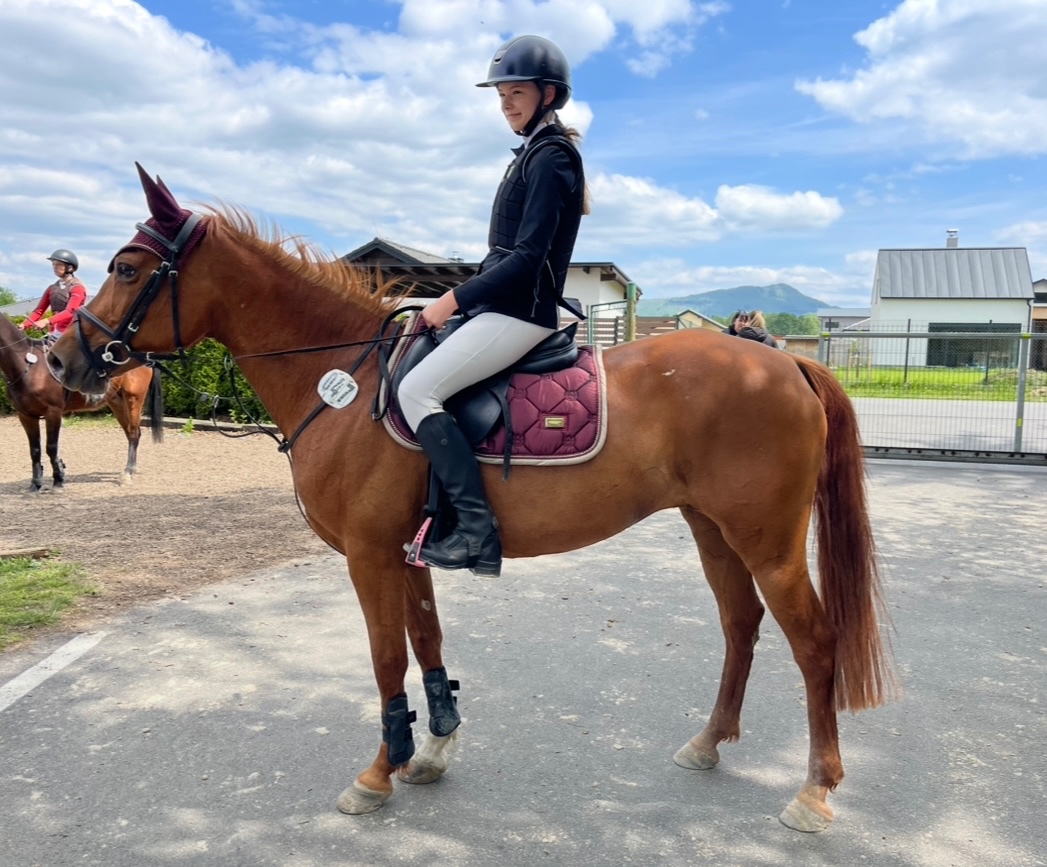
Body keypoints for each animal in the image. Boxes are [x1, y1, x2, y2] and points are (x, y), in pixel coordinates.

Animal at [1, 312, 163, 490]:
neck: (29, 367)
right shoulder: (25, 415)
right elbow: (34, 450)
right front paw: (36, 483)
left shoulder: (53, 413)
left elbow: (51, 447)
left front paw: (58, 479)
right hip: (116, 402)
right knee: (130, 432)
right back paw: (131, 468)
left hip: (133, 398)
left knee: (134, 433)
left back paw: (127, 473)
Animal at [48, 165, 896, 832]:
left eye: (129, 268)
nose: (60, 359)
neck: (344, 380)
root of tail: (781, 363)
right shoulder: (406, 551)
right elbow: (426, 643)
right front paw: (433, 746)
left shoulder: (368, 554)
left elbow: (386, 656)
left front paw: (377, 772)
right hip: (712, 528)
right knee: (740, 624)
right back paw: (708, 743)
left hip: (767, 539)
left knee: (813, 641)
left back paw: (814, 791)